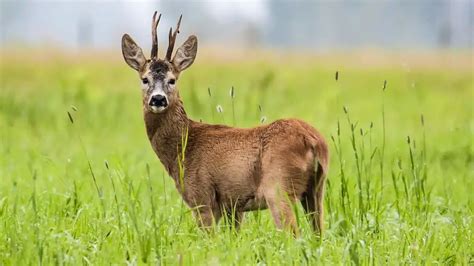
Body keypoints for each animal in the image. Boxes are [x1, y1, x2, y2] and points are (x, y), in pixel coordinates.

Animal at [121, 11, 330, 235]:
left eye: (172, 80)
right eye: (144, 79)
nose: (158, 99)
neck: (184, 146)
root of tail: (313, 141)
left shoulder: (201, 197)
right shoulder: (233, 205)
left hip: (278, 187)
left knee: (293, 232)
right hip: (316, 189)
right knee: (318, 233)